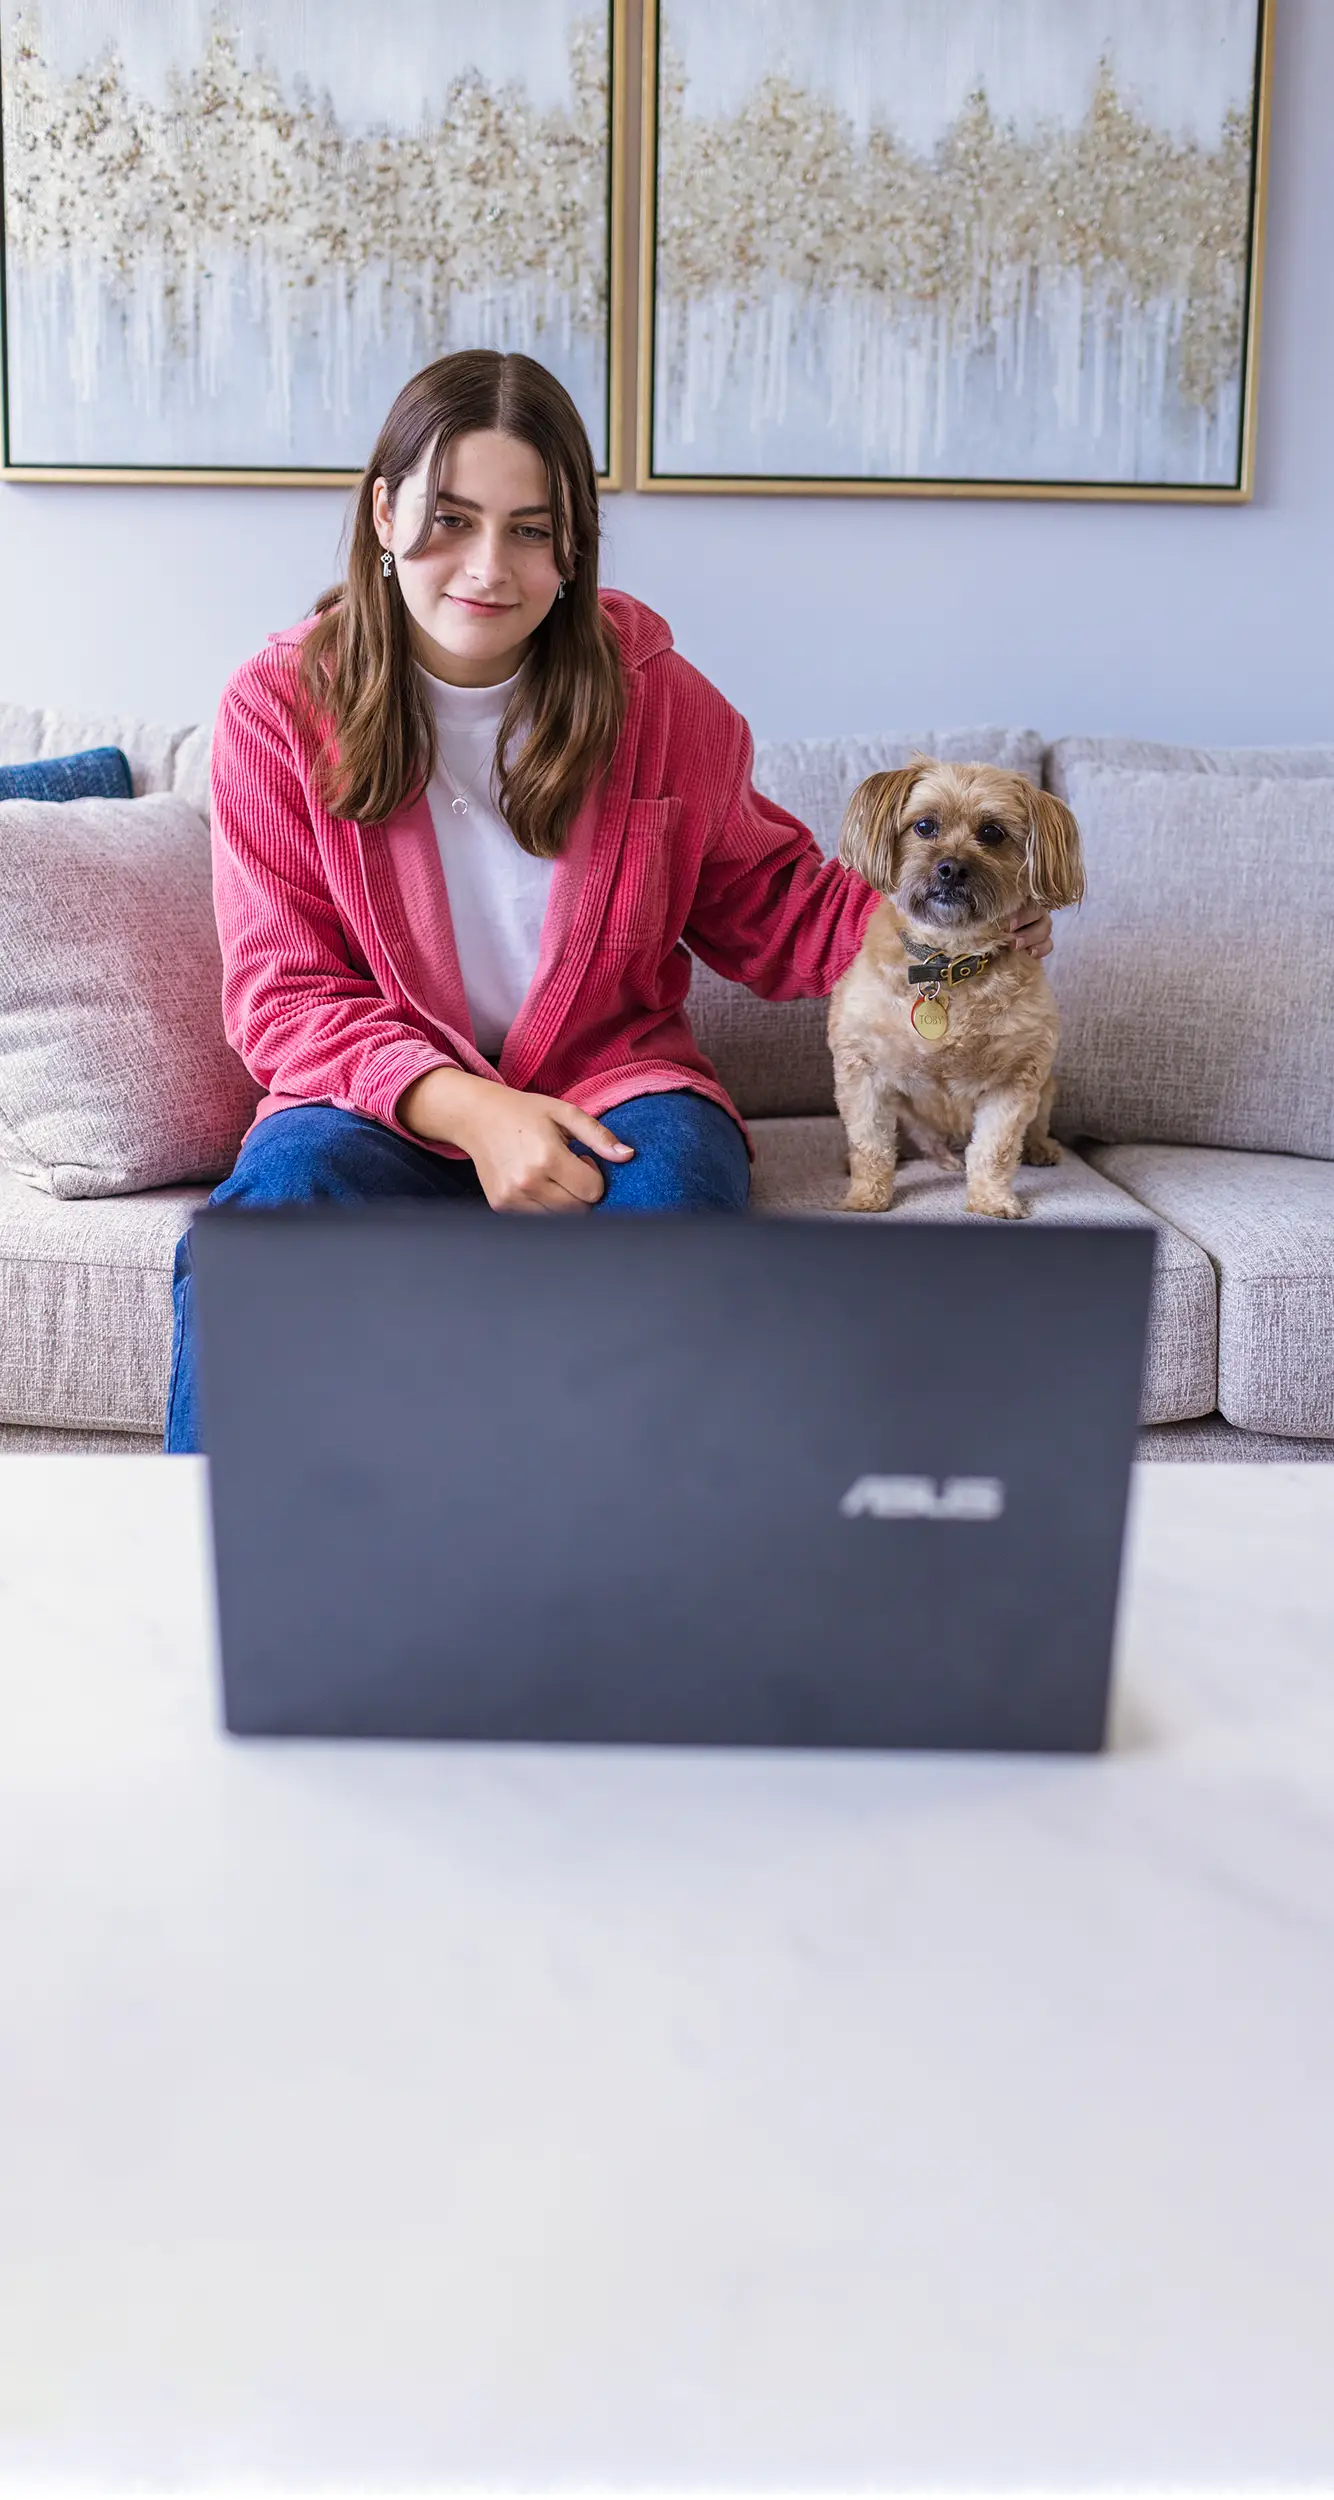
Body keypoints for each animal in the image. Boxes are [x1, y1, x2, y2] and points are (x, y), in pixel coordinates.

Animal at [839, 760, 1089, 1230]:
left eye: (992, 832)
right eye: (924, 826)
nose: (951, 868)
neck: (949, 962)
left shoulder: (1017, 1078)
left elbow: (995, 1149)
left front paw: (992, 1202)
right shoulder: (862, 1068)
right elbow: (869, 1143)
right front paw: (865, 1198)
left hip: (1047, 1086)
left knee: (1036, 1127)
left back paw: (1041, 1149)